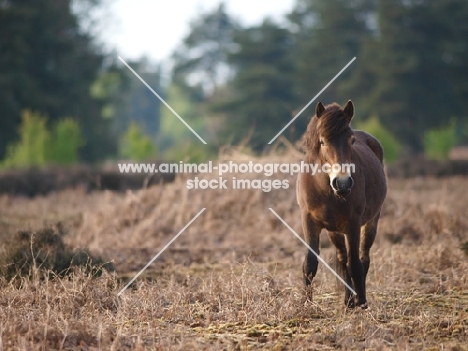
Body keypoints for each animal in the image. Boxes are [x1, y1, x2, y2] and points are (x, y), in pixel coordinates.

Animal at [298, 99, 386, 308]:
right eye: (322, 141)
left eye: (351, 140)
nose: (343, 183)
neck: (325, 190)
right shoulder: (309, 221)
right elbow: (310, 264)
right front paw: (306, 304)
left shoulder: (353, 224)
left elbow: (355, 264)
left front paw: (361, 302)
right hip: (334, 231)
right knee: (342, 258)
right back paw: (348, 300)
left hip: (371, 222)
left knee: (362, 258)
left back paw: (358, 299)